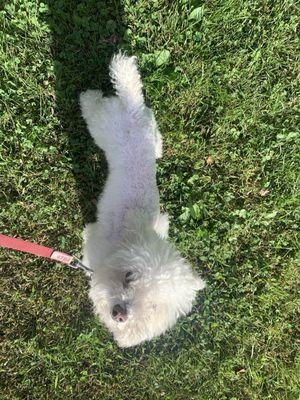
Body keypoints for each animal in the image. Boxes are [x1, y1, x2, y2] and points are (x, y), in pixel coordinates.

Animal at [79, 53, 206, 346]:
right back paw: (86, 96)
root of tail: (133, 106)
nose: (120, 313)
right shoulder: (91, 239)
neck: (118, 243)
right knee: (93, 104)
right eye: (129, 276)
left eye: (154, 306)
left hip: (152, 127)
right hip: (102, 122)